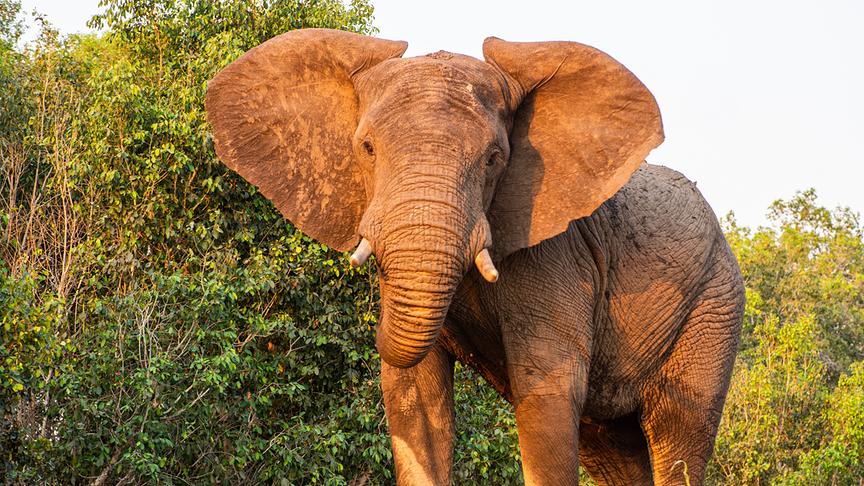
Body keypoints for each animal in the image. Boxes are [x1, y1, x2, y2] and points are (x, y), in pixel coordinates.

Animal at [205, 28, 744, 485]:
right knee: (611, 449)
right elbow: (415, 397)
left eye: (494, 159)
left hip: (713, 309)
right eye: (367, 148)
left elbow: (546, 389)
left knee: (678, 433)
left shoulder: (557, 254)